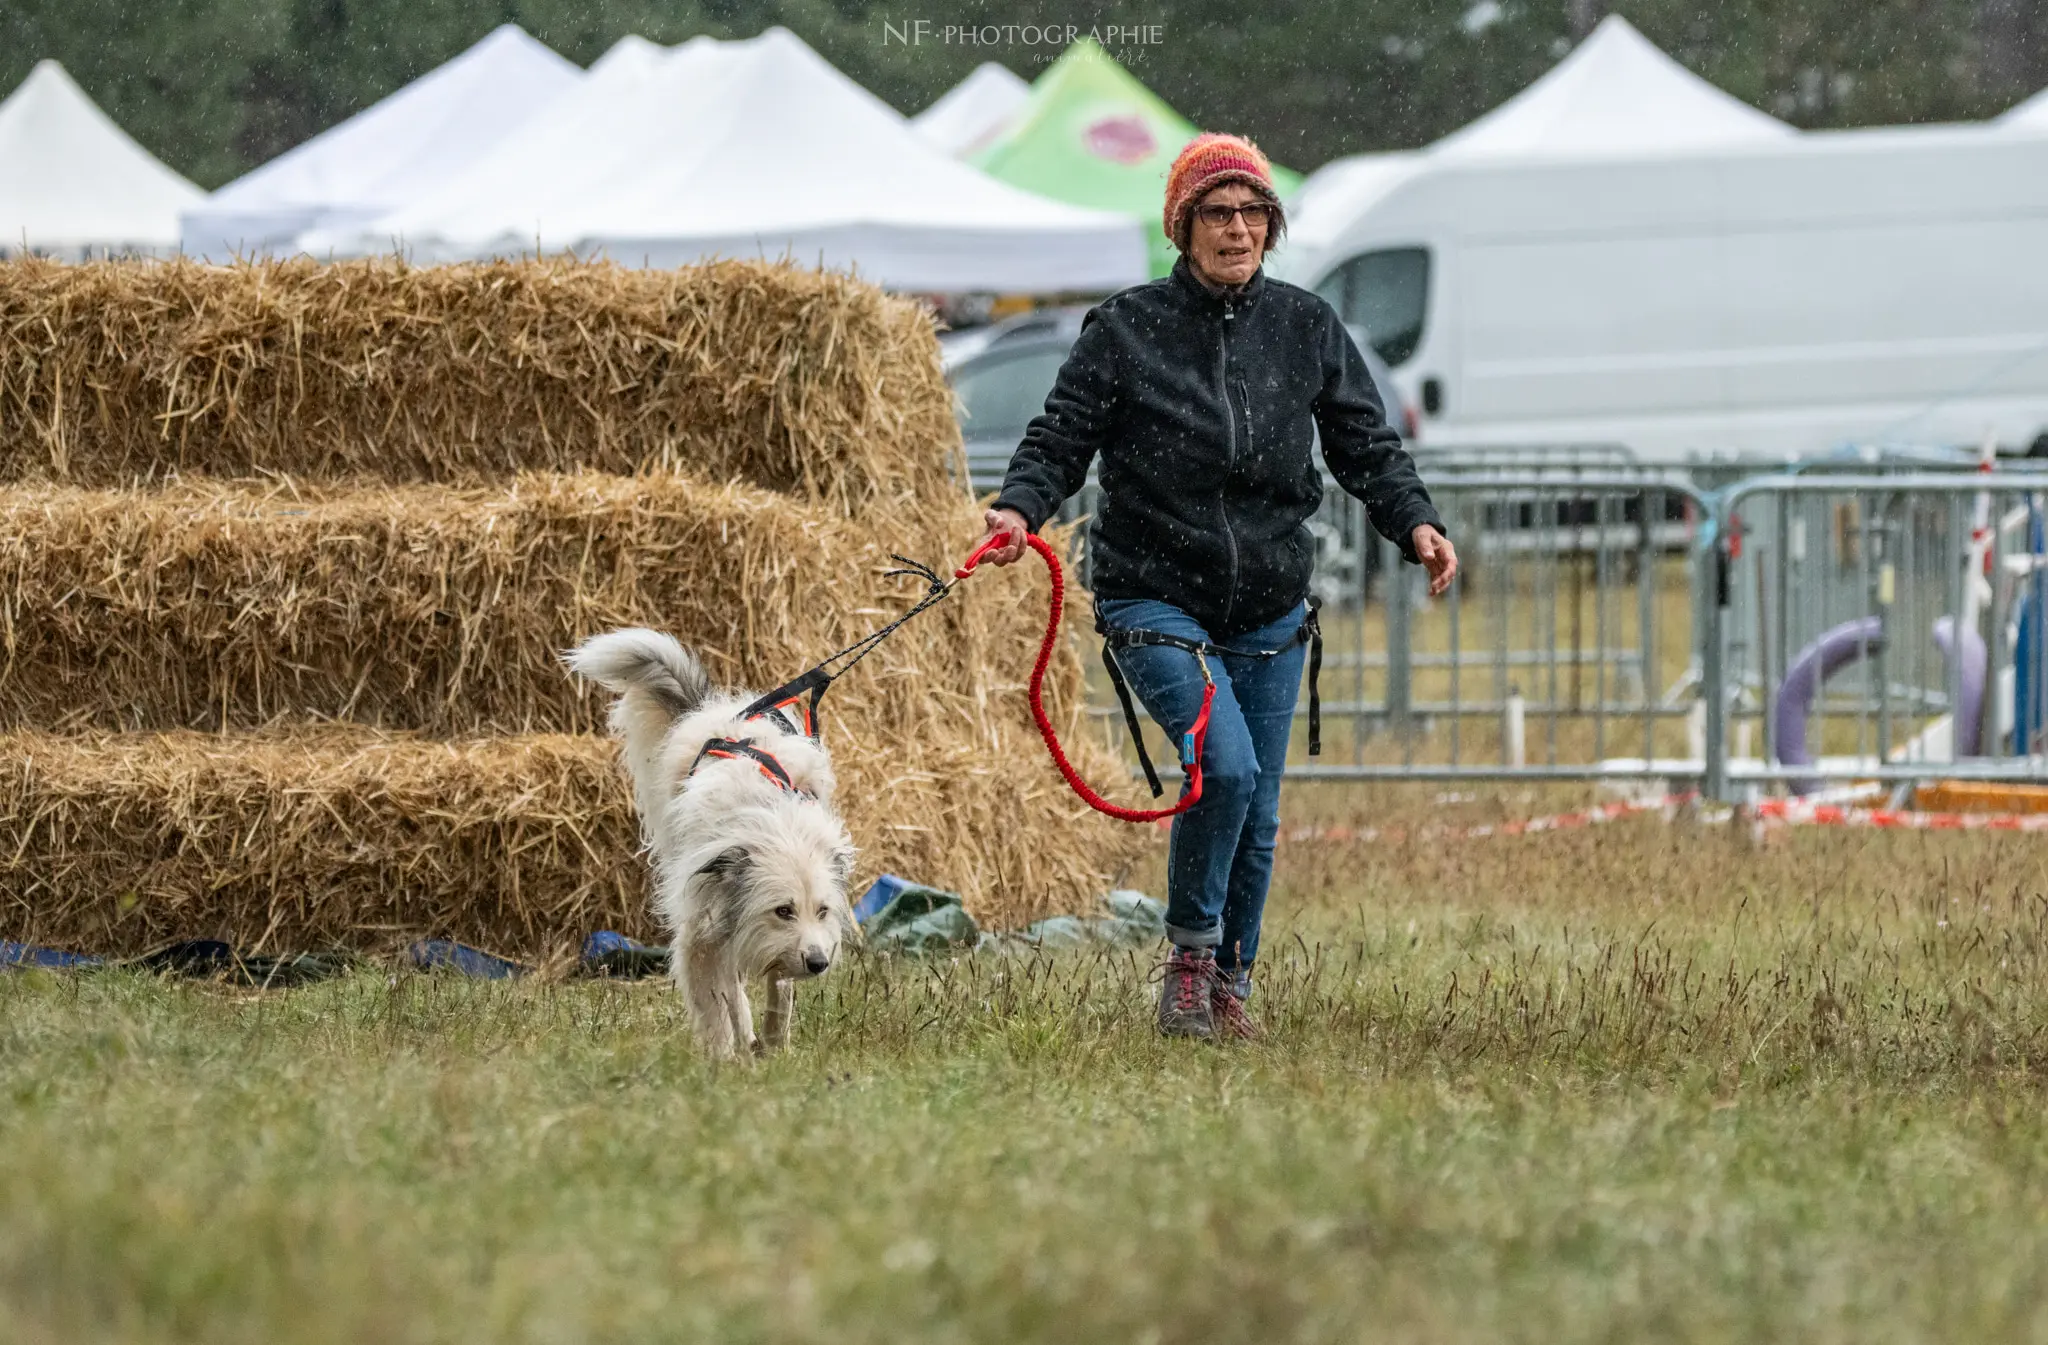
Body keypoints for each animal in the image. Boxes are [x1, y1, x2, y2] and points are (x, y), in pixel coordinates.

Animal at [561, 630, 856, 1056]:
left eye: (822, 911)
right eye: (783, 910)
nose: (819, 963)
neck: (774, 824)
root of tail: (713, 709)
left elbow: (780, 989)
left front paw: (774, 1045)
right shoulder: (702, 933)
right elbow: (718, 1004)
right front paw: (725, 1056)